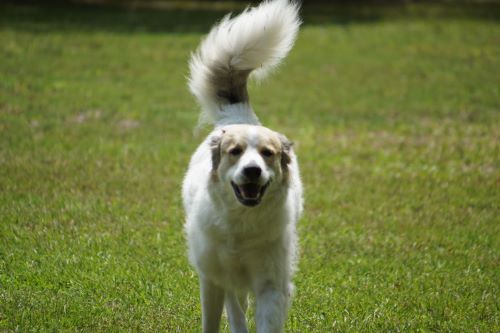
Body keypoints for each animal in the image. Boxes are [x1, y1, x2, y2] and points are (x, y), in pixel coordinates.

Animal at [183, 1, 302, 330]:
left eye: (268, 153)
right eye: (235, 152)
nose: (252, 171)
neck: (242, 224)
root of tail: (239, 117)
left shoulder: (272, 284)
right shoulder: (212, 278)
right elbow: (217, 318)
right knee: (235, 304)